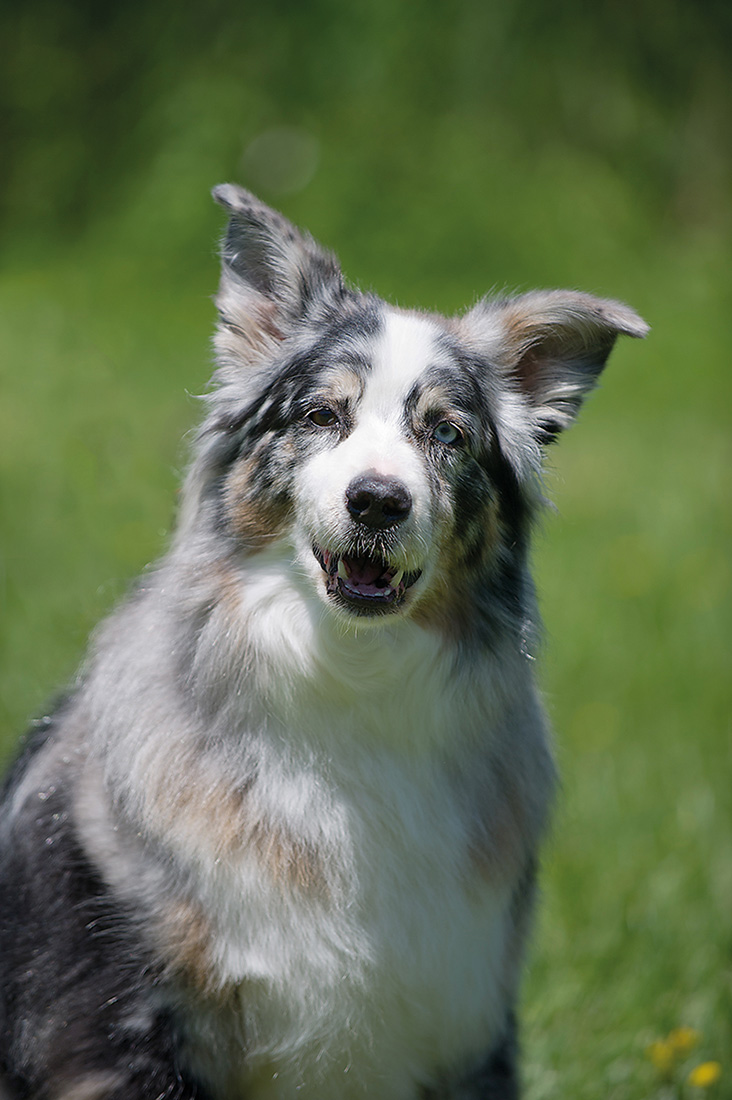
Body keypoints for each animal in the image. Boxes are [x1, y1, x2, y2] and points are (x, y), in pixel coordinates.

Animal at [0, 184, 647, 1095]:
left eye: (446, 433)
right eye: (320, 414)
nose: (377, 501)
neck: (349, 670)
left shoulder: (460, 1025)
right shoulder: (112, 1029)